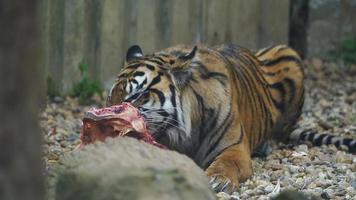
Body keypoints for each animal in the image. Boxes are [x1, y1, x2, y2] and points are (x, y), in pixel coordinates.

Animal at [106, 44, 356, 194]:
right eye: (110, 96)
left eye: (136, 96)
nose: (108, 120)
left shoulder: (235, 149)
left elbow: (226, 163)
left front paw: (217, 180)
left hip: (289, 55)